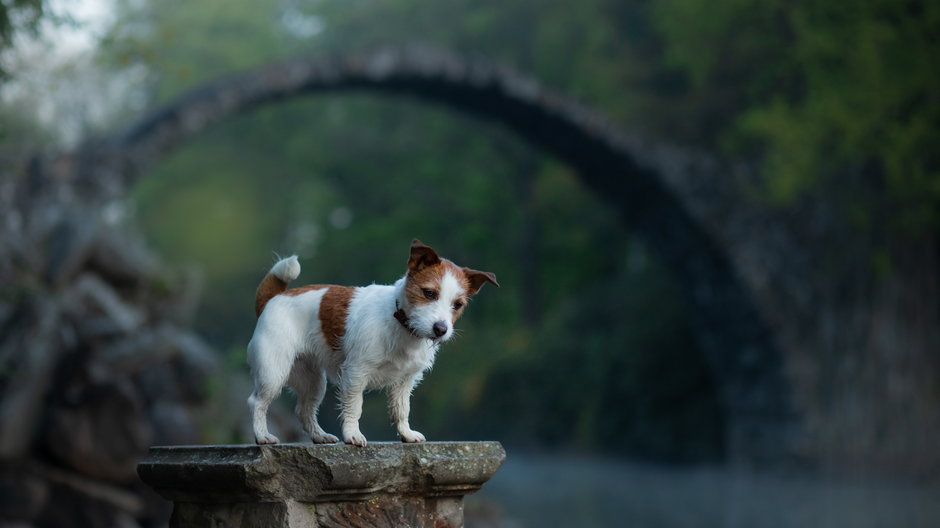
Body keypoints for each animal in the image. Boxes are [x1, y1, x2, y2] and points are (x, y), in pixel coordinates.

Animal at [250, 238, 500, 446]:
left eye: (457, 305)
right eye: (429, 293)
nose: (441, 329)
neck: (400, 322)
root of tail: (274, 298)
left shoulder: (405, 381)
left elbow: (402, 410)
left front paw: (406, 434)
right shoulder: (355, 374)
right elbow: (354, 407)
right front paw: (352, 434)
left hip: (313, 381)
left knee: (304, 410)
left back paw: (319, 436)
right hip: (273, 373)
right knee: (258, 403)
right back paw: (262, 436)